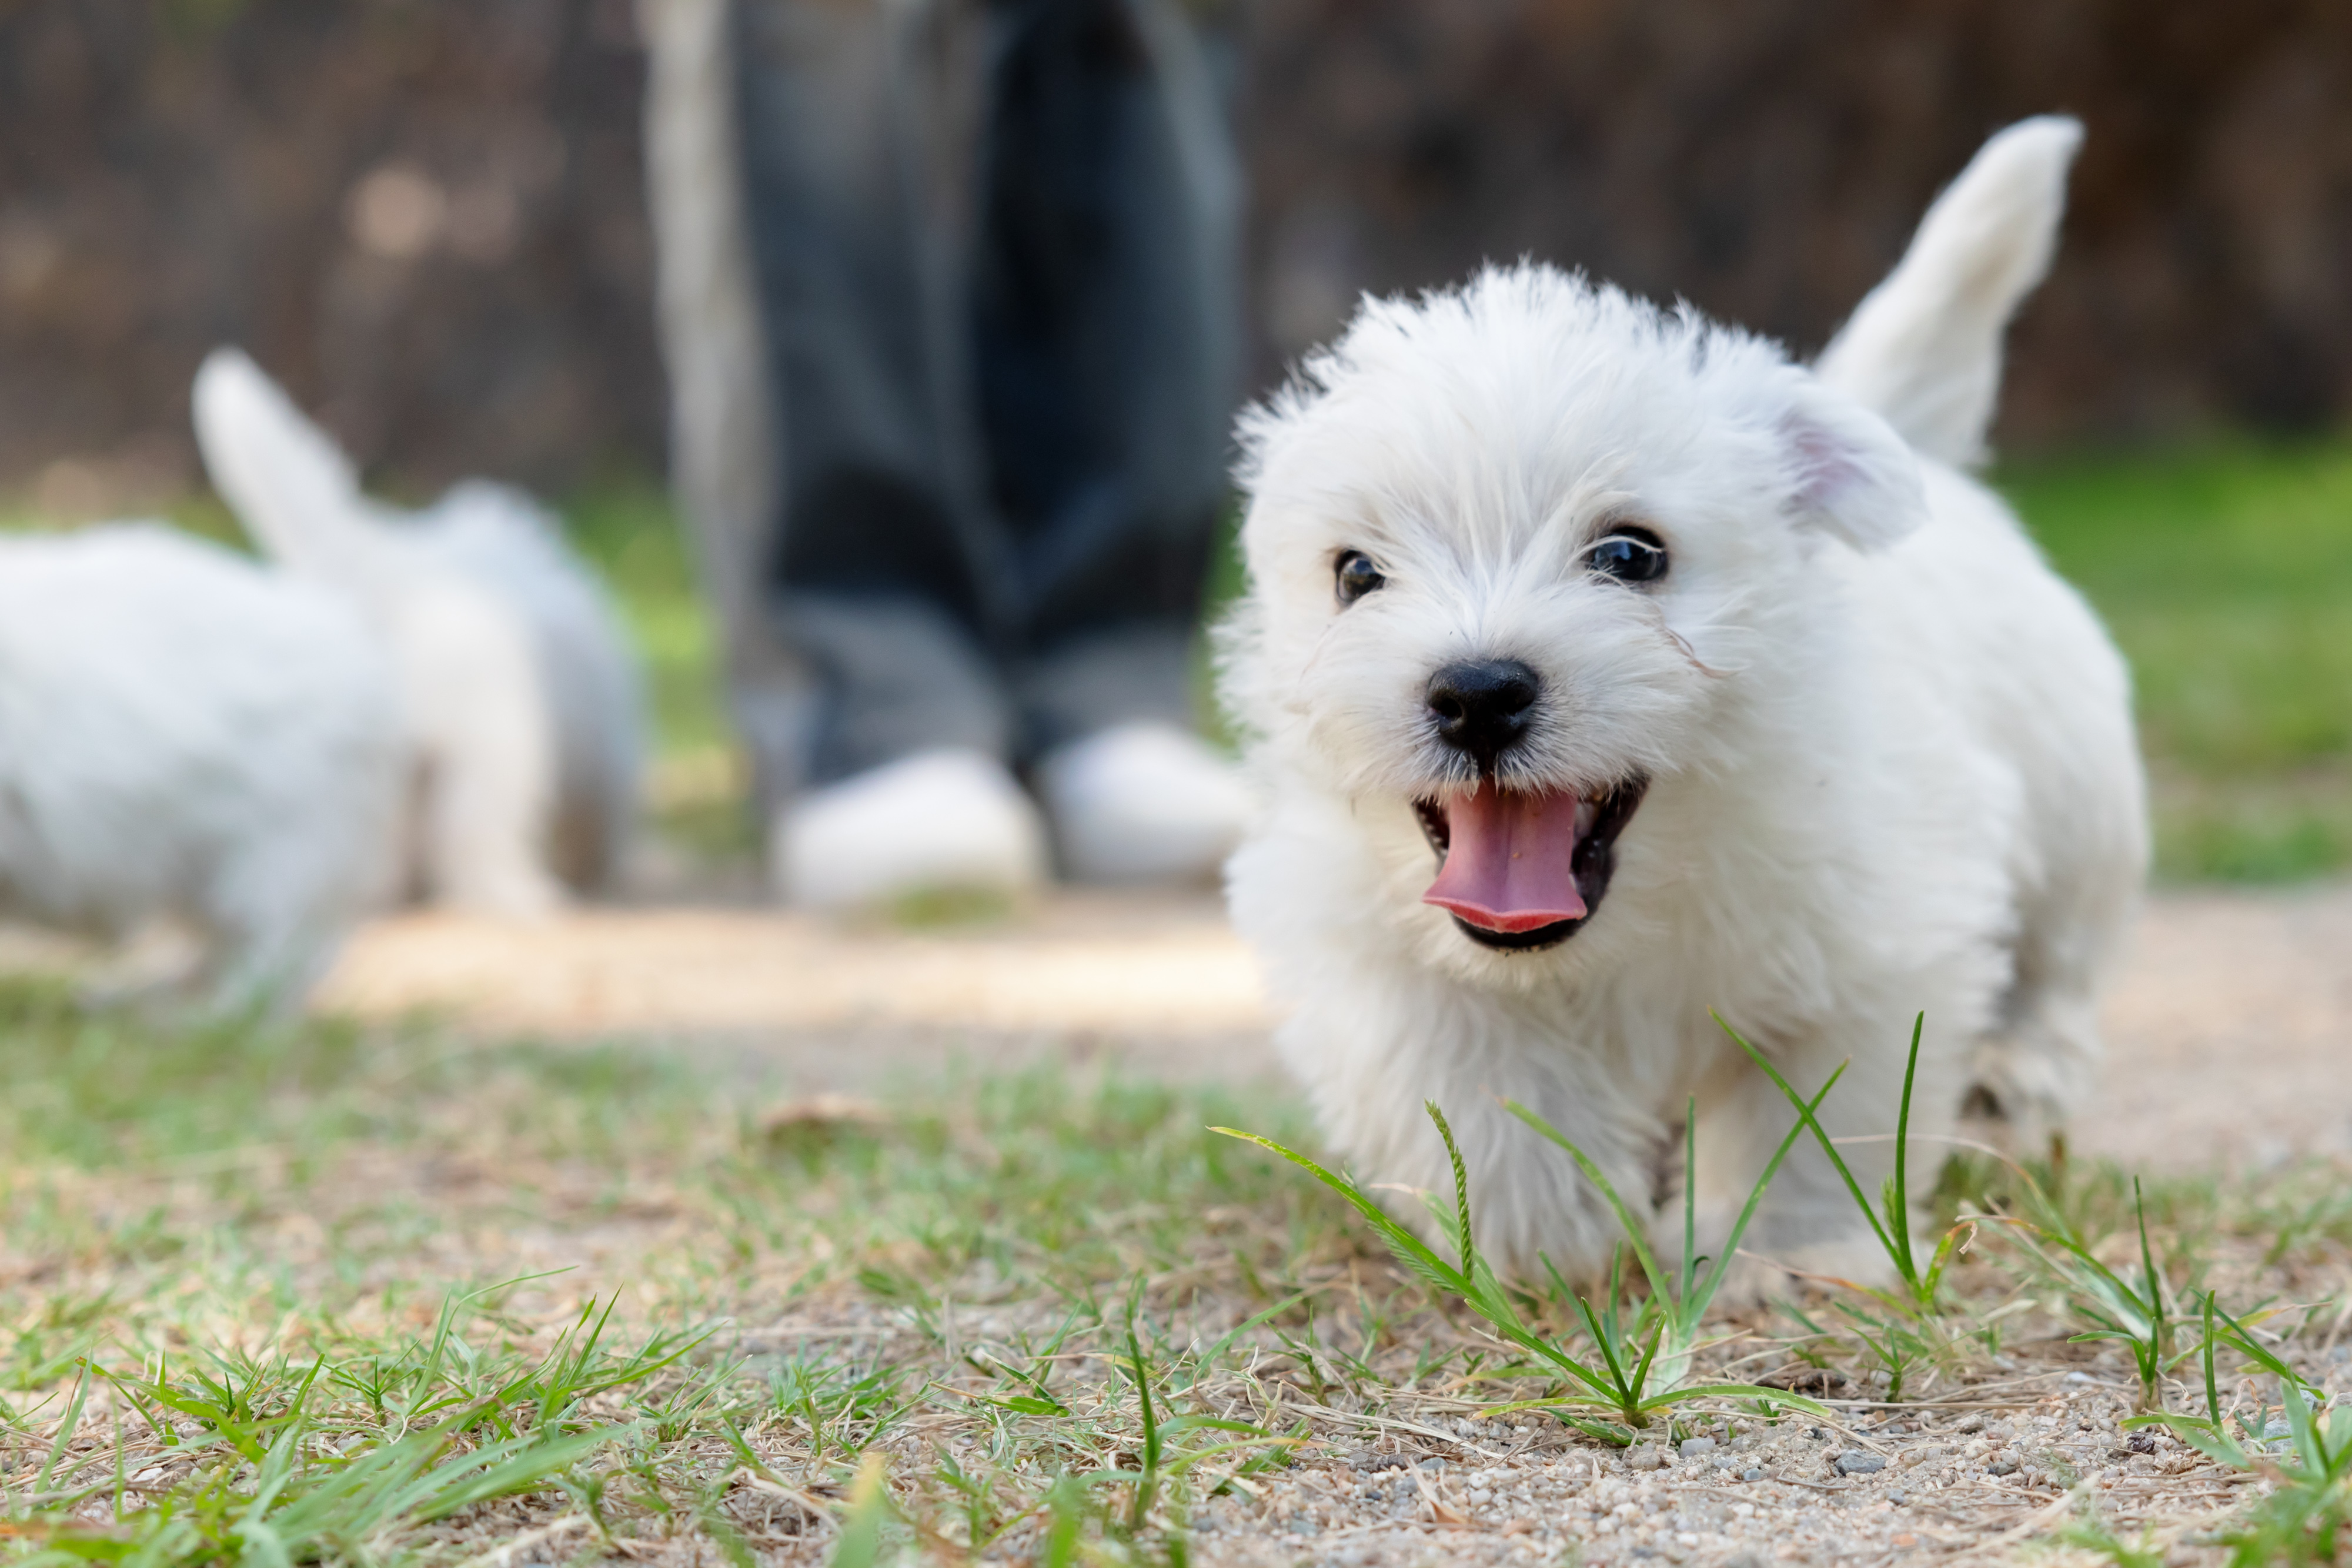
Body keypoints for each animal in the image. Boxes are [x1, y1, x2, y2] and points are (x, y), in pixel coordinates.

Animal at [194, 343, 649, 907]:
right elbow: (603, 820)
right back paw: (520, 895)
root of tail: (383, 591)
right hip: (496, 753)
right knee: (474, 839)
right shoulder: (602, 748)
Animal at [1223, 116, 2145, 1279]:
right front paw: (1547, 1227)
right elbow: (1464, 1066)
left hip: (2080, 813)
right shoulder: (1369, 943)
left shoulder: (1873, 940)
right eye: (1355, 573)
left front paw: (1782, 1251)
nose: (1476, 692)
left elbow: (1812, 1109)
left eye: (1631, 554)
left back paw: (2017, 1071)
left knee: (2058, 961)